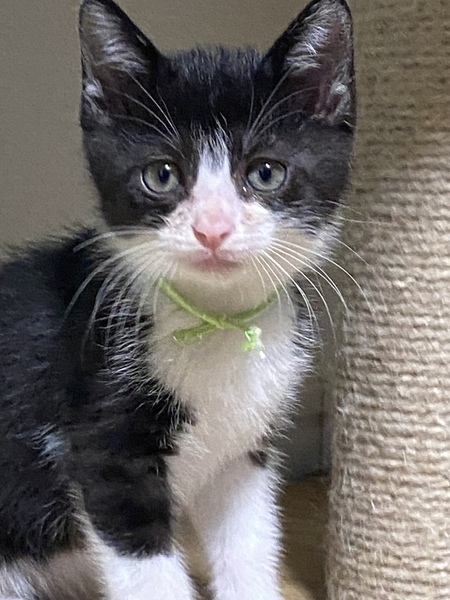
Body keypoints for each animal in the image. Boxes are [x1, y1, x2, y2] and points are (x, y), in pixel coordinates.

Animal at [0, 0, 355, 598]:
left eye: (266, 171)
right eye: (161, 175)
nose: (212, 229)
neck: (218, 321)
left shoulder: (243, 451)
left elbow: (249, 543)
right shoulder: (103, 450)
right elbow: (148, 570)